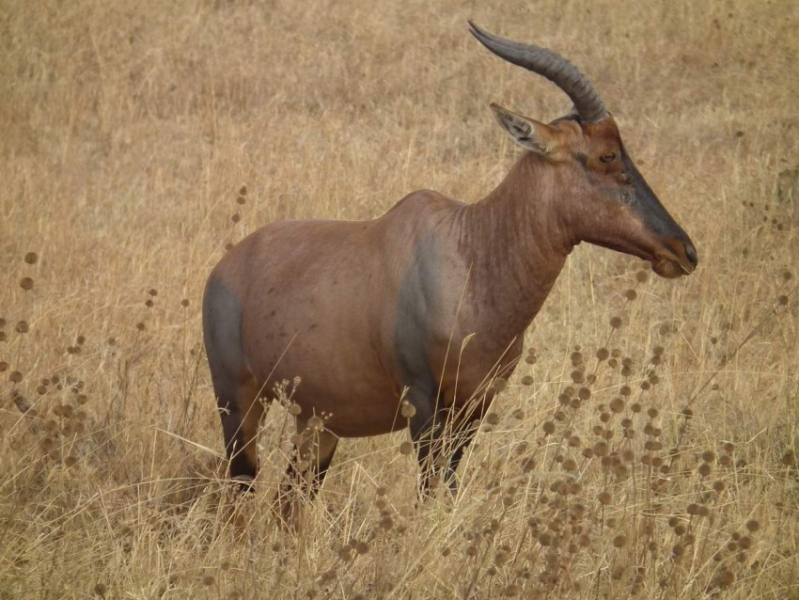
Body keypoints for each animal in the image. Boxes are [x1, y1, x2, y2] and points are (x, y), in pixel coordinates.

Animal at [202, 22, 700, 520]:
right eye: (606, 155)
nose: (684, 251)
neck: (472, 249)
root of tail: (226, 265)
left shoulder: (475, 405)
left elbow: (449, 484)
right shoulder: (422, 402)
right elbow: (429, 488)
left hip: (317, 421)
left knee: (291, 496)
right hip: (238, 400)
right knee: (243, 481)